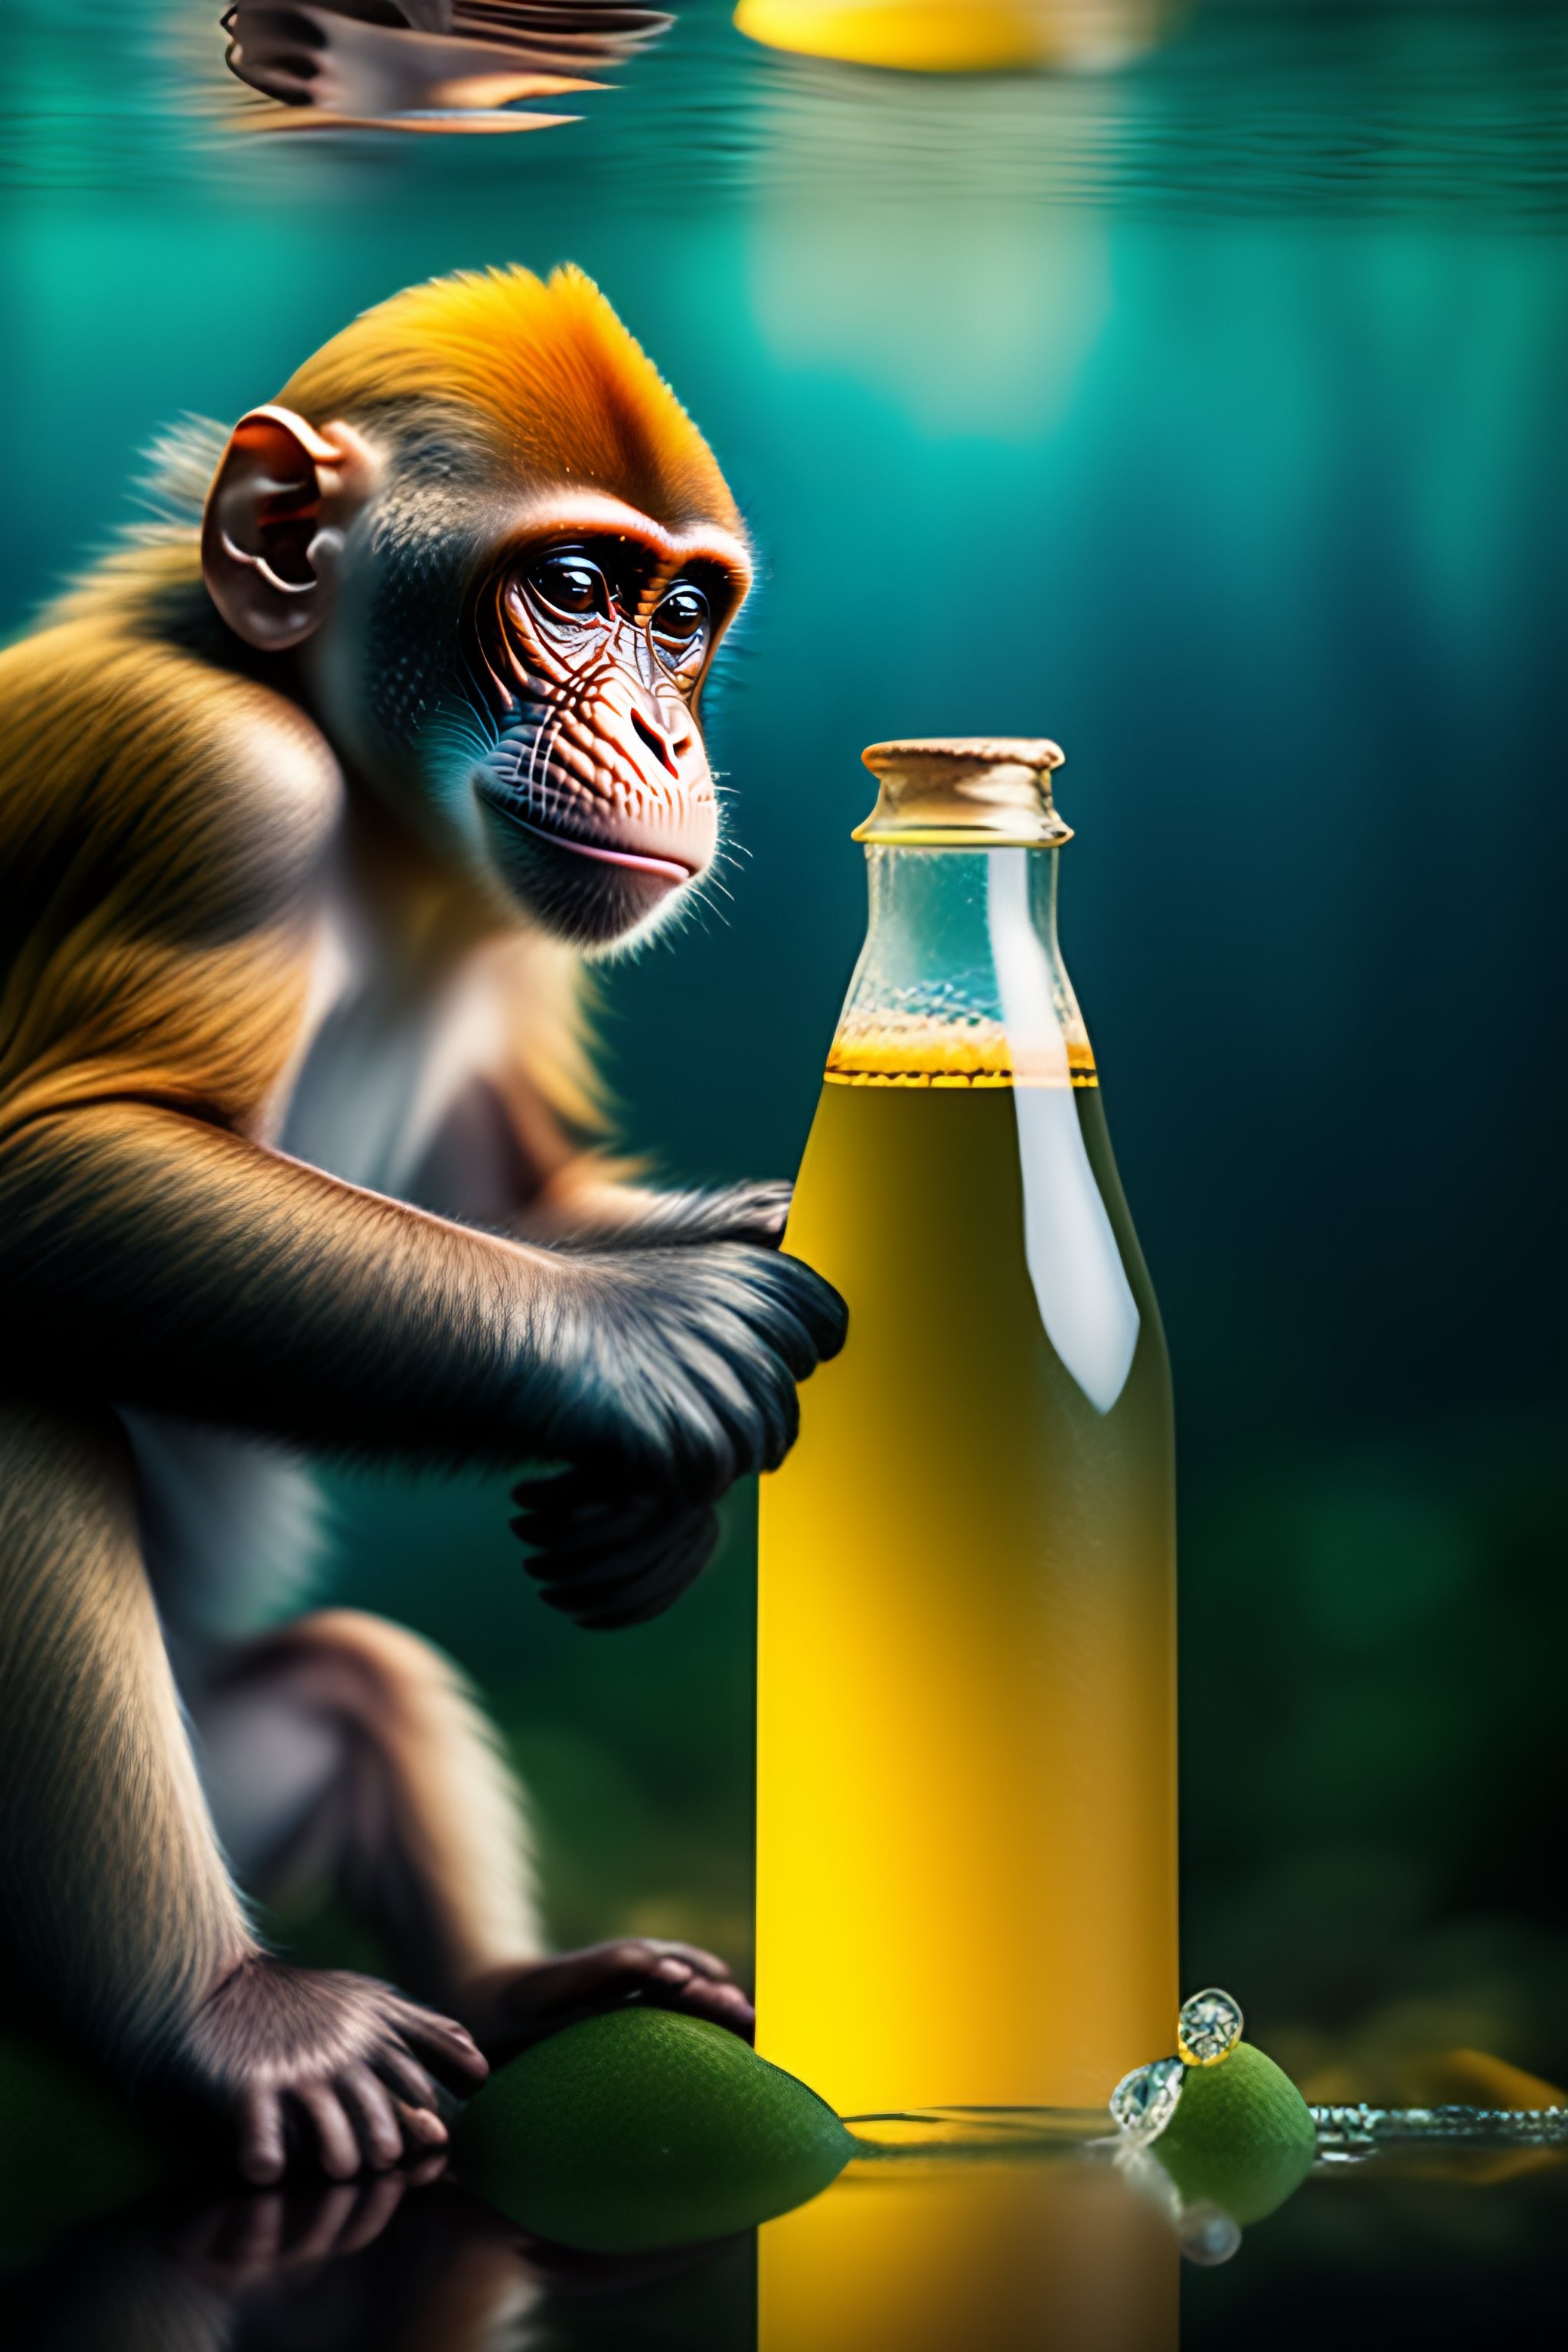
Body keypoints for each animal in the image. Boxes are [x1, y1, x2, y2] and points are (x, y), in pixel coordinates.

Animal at [0, 264, 846, 2188]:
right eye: (575, 588)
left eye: (685, 612)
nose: (669, 736)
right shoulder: (213, 783)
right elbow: (59, 1172)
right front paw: (661, 1348)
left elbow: (507, 1205)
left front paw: (683, 1453)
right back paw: (228, 2019)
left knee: (356, 1683)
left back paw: (519, 1987)